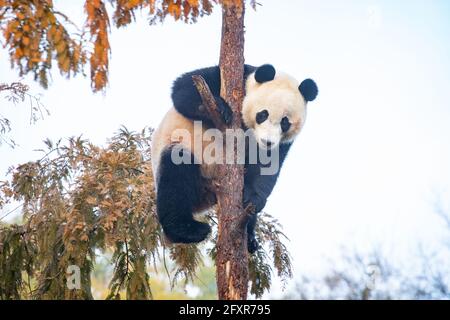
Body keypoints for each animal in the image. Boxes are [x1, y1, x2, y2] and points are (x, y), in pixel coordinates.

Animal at [151, 64, 316, 252]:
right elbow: (183, 88)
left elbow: (267, 166)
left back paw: (250, 238)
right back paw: (187, 230)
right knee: (176, 173)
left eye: (285, 122)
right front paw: (220, 108)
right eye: (263, 114)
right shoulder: (230, 78)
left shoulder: (281, 143)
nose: (267, 141)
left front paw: (254, 199)